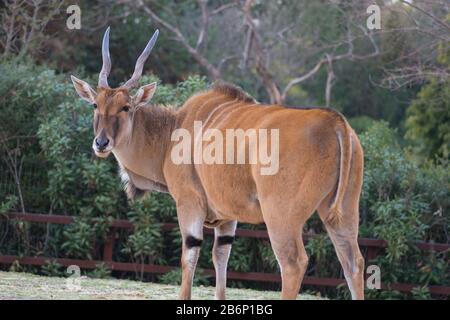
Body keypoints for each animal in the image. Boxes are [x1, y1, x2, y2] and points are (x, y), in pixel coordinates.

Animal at [71, 27, 366, 300]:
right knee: (354, 262)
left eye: (126, 107)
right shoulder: (227, 217)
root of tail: (335, 123)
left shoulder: (189, 203)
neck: (172, 132)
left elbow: (189, 255)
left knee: (293, 264)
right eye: (95, 105)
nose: (101, 143)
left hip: (281, 217)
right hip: (343, 212)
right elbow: (221, 255)